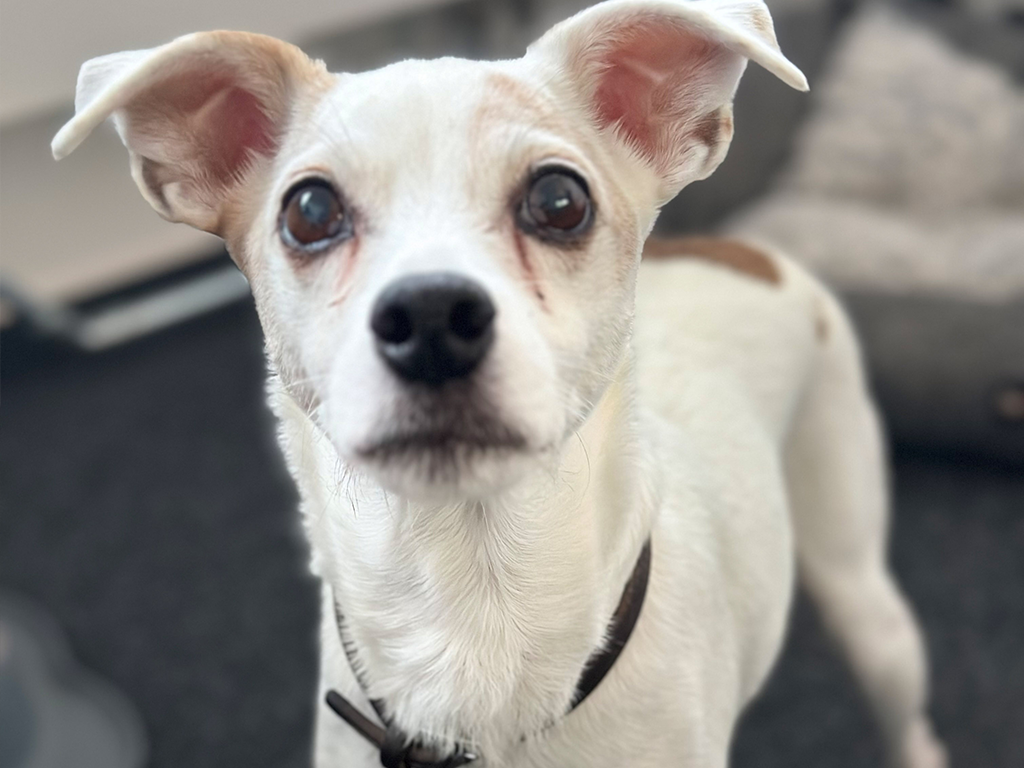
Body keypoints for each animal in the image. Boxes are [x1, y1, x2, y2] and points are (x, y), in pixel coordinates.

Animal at [51, 3, 946, 765]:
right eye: (308, 211)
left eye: (560, 198)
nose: (432, 316)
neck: (475, 607)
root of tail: (741, 249)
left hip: (869, 607)